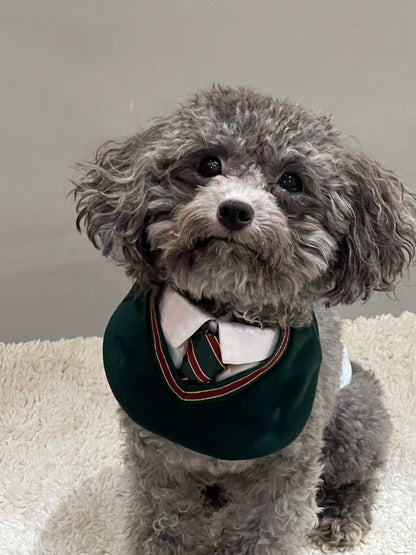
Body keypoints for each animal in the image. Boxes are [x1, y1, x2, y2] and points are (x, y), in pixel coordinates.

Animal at [74, 84, 416, 552]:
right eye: (208, 164)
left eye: (291, 181)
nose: (235, 210)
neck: (220, 320)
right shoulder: (156, 457)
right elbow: (162, 522)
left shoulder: (287, 465)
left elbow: (266, 527)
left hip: (353, 416)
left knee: (359, 474)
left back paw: (342, 515)